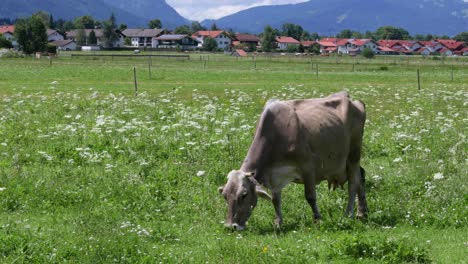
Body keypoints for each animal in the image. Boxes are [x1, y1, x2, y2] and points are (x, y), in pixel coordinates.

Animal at [218, 92, 368, 230]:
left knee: (353, 184)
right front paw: (278, 223)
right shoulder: (274, 176)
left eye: (244, 195)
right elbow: (275, 200)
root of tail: (351, 99)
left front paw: (318, 220)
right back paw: (362, 212)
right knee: (360, 178)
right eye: (225, 195)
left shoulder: (308, 167)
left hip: (353, 155)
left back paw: (349, 214)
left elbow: (310, 196)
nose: (230, 226)